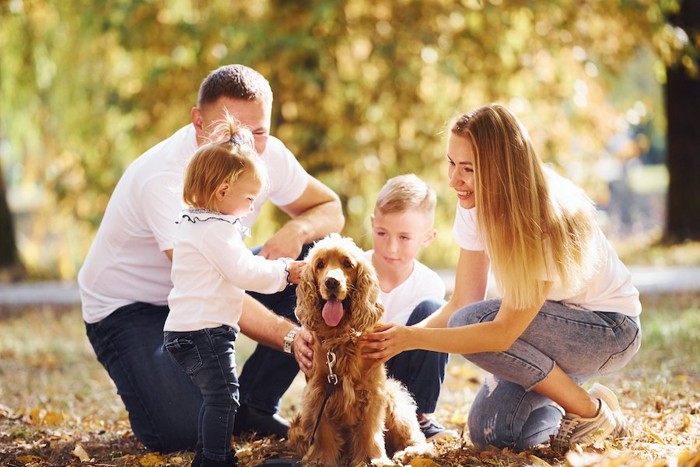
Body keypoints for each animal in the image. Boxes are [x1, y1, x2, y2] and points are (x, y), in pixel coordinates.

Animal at [288, 236, 424, 466]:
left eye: (347, 264)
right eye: (320, 264)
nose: (331, 282)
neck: (341, 337)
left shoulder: (372, 391)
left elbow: (369, 430)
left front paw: (371, 459)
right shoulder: (319, 390)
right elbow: (323, 430)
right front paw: (321, 459)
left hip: (395, 402)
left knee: (416, 437)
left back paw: (411, 453)